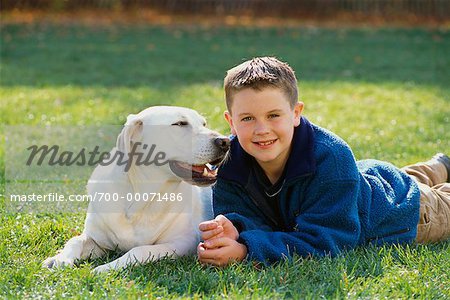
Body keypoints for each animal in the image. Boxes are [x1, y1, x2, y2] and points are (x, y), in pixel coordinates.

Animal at [42, 106, 229, 274]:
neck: (141, 200)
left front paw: (106, 268)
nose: (225, 141)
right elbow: (75, 240)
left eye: (203, 123)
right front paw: (60, 258)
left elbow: (140, 249)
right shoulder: (97, 239)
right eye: (180, 123)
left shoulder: (183, 242)